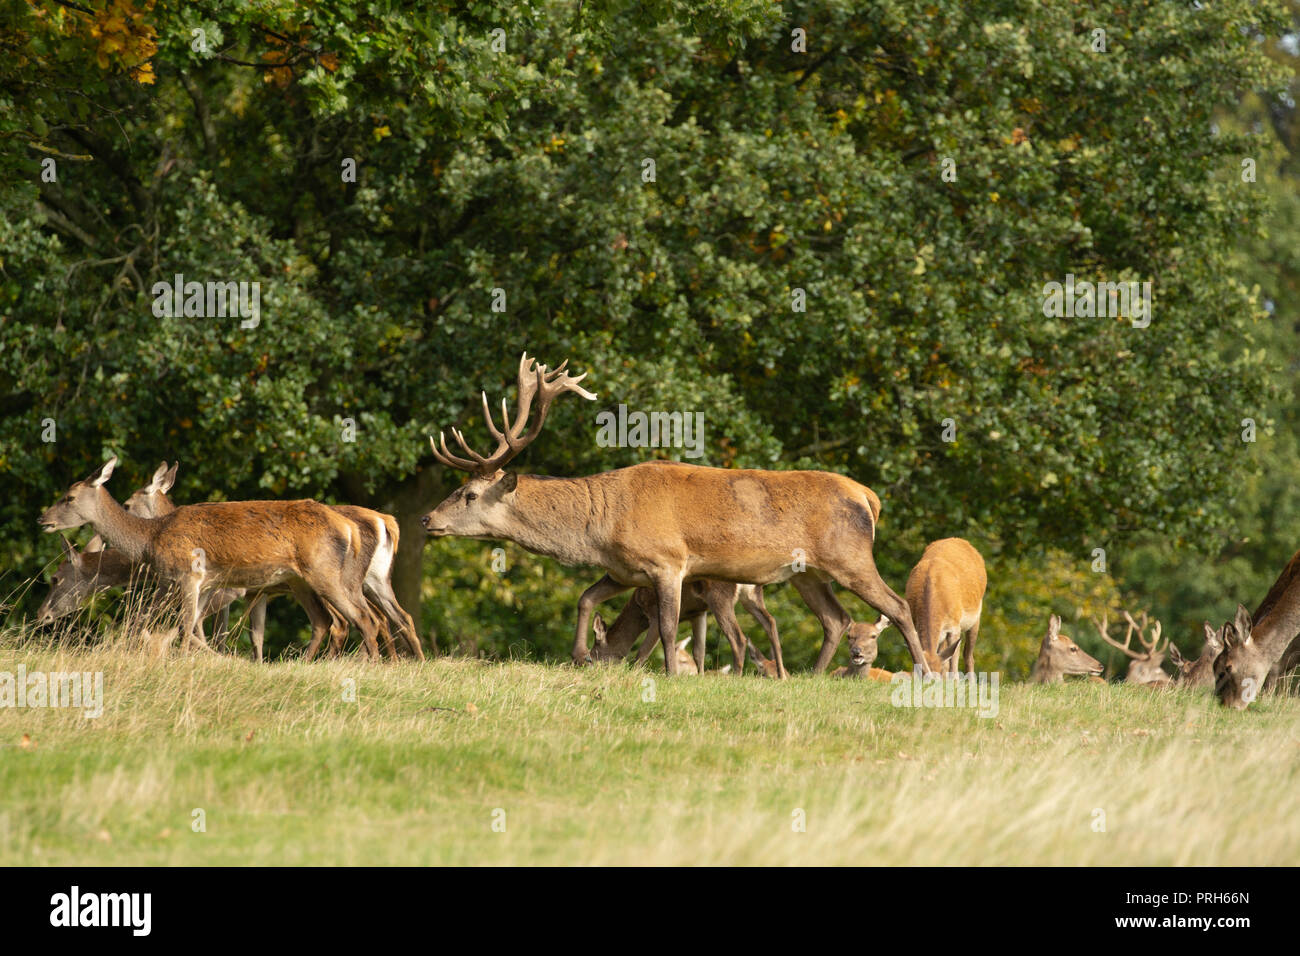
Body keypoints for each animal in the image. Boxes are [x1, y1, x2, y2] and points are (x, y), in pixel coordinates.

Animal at [36, 455, 379, 658]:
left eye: (69, 497)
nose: (43, 519)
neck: (150, 540)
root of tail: (347, 526)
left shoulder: (192, 576)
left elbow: (186, 625)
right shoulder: (177, 582)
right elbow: (150, 621)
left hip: (325, 574)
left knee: (363, 619)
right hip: (302, 582)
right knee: (331, 621)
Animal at [421, 356, 930, 676]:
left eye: (468, 493)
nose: (427, 519)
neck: (602, 526)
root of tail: (868, 496)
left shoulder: (667, 561)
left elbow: (666, 626)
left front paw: (668, 675)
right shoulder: (623, 570)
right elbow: (585, 598)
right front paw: (582, 655)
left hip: (851, 557)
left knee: (897, 606)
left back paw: (925, 672)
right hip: (809, 572)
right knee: (835, 619)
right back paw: (814, 677)